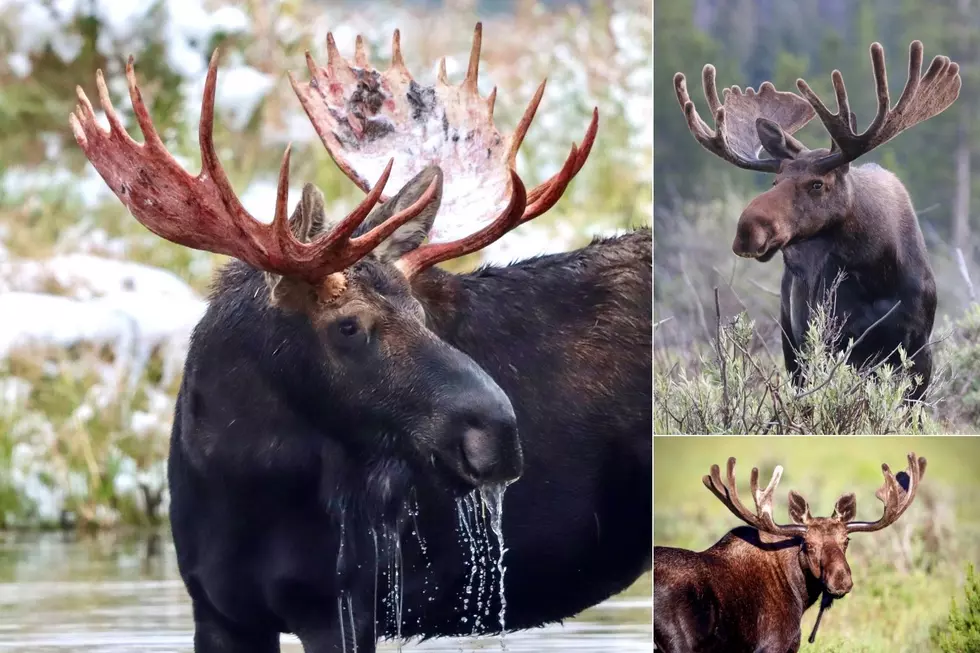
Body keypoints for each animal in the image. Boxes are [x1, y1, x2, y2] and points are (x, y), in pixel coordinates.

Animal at [69, 21, 652, 652]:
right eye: (348, 324)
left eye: (420, 312)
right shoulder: (218, 610)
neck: (237, 486)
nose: (498, 435)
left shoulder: (342, 604)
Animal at [668, 40, 960, 400]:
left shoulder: (918, 348)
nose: (747, 230)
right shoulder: (830, 341)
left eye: (817, 184)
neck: (876, 269)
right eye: (775, 181)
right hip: (791, 339)